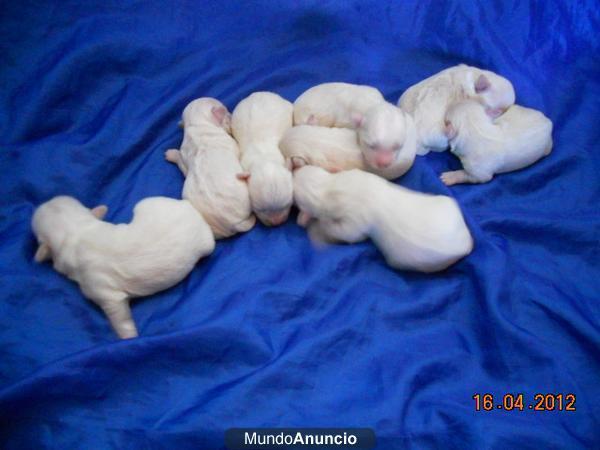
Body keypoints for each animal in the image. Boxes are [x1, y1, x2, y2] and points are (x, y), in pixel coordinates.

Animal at [31, 195, 216, 340]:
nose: (46, 200)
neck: (76, 231)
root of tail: (189, 207)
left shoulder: (101, 289)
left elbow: (119, 315)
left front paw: (128, 336)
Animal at [165, 97, 256, 239]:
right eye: (227, 115)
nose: (231, 115)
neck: (197, 124)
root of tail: (232, 223)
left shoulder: (184, 158)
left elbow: (182, 163)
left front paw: (171, 154)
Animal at [294, 165, 474, 270]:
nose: (294, 171)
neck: (332, 187)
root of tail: (466, 242)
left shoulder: (354, 220)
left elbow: (348, 234)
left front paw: (318, 226)